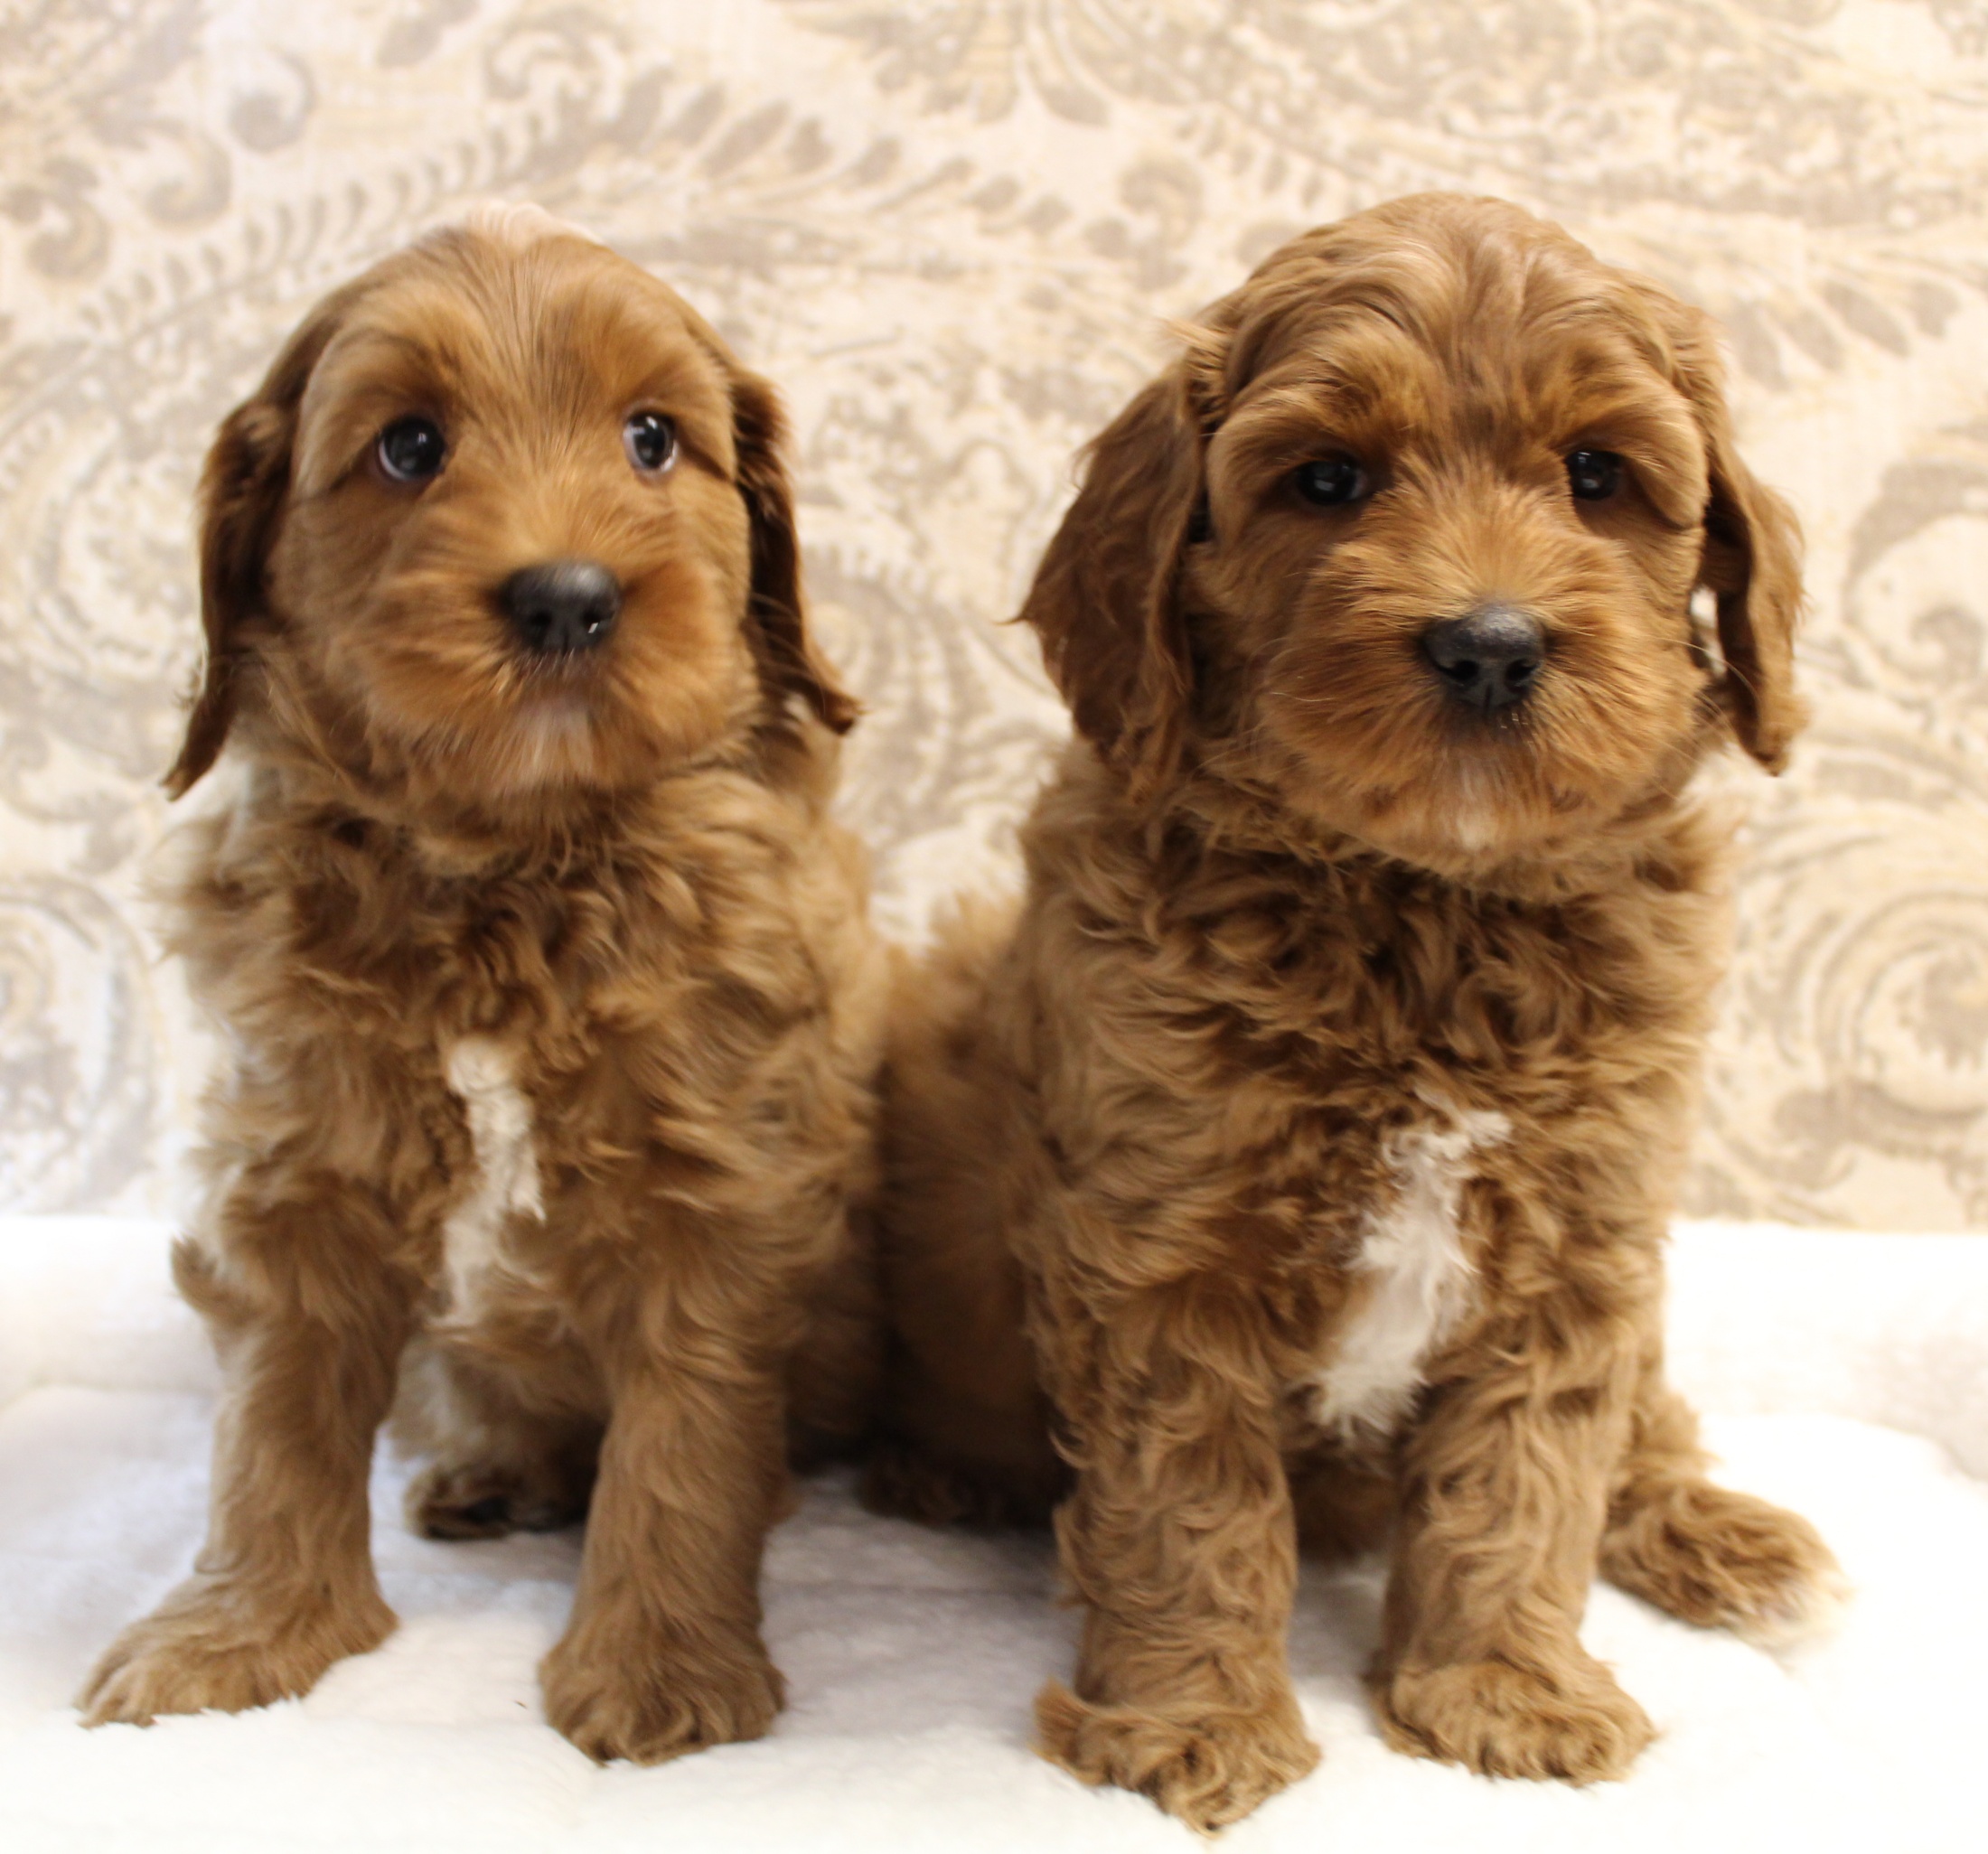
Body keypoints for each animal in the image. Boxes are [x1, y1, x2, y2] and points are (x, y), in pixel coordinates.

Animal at [78, 212, 889, 1764]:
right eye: (408, 447)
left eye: (651, 439)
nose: (568, 597)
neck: (507, 872)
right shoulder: (297, 1168)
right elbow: (271, 1427)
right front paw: (238, 1635)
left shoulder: (719, 1185)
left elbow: (682, 1443)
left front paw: (658, 1670)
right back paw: (488, 1475)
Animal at [869, 193, 1846, 1829]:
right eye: (1327, 480)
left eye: (1599, 475)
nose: (1491, 643)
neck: (1429, 905)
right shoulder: (1164, 1251)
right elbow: (1188, 1504)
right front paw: (1194, 1719)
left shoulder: (1579, 1237)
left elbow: (1529, 1481)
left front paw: (1503, 1691)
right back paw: (942, 1475)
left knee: (1646, 1423)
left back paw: (1727, 1535)